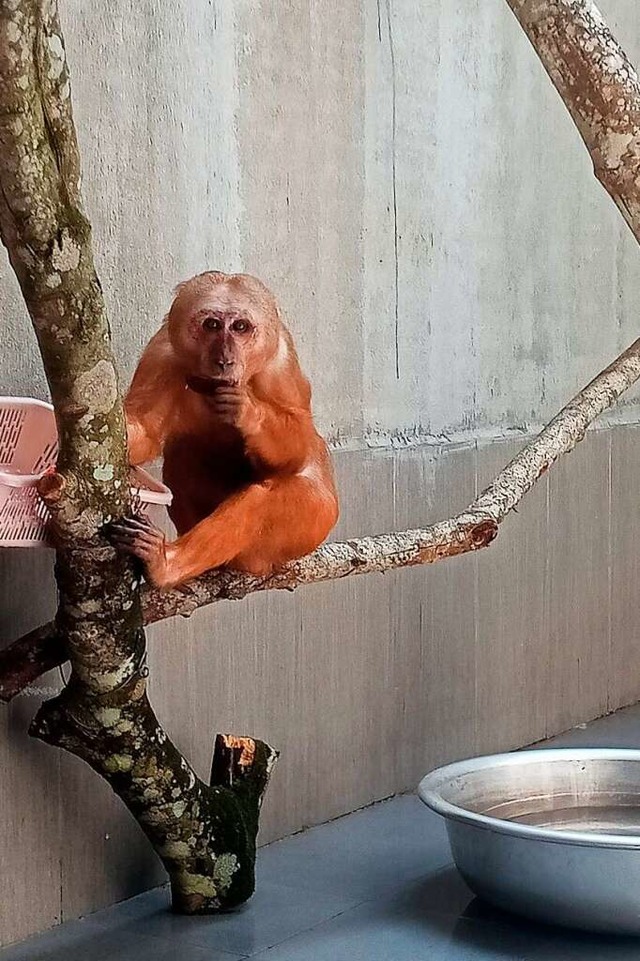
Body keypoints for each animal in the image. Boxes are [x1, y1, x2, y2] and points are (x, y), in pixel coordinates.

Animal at [110, 266, 340, 588]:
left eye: (240, 326)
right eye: (212, 324)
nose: (225, 358)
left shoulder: (279, 361)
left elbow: (297, 449)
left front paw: (247, 412)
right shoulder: (161, 354)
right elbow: (146, 429)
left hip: (316, 521)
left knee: (268, 498)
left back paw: (166, 565)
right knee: (185, 452)